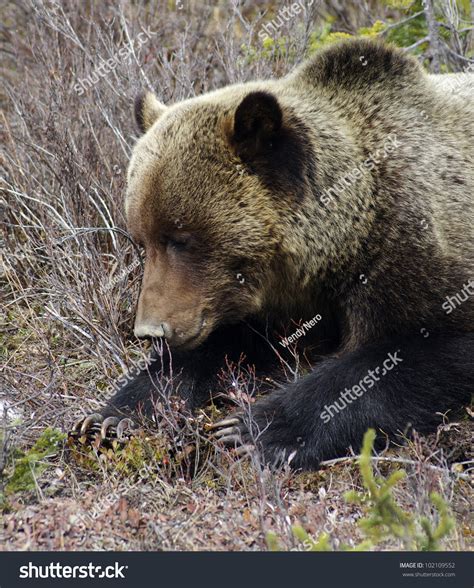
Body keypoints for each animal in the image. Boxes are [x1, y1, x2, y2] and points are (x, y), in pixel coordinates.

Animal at [72, 39, 472, 470]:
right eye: (140, 240)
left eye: (181, 238)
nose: (150, 330)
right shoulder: (272, 301)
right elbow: (225, 345)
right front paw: (111, 418)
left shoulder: (409, 253)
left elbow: (409, 354)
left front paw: (249, 429)